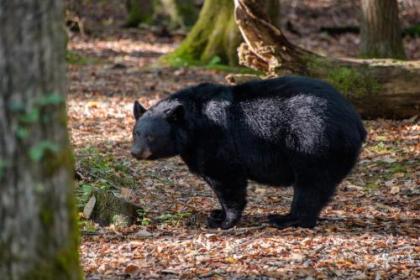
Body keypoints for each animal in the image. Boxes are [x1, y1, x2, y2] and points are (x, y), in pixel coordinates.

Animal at [131, 75, 368, 229]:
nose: (135, 152)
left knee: (311, 185)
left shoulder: (217, 139)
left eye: (151, 136)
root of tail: (357, 123)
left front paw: (224, 220)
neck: (194, 124)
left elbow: (226, 178)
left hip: (315, 143)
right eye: (136, 133)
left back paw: (287, 219)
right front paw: (217, 213)